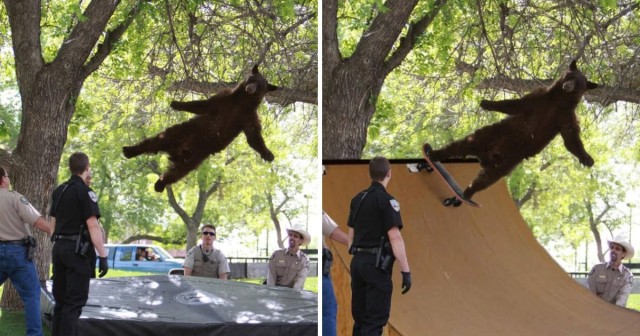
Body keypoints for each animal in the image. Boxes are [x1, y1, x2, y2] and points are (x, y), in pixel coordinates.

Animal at [122, 64, 278, 193]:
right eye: (252, 79)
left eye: (260, 86)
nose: (250, 88)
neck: (242, 102)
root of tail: (178, 151)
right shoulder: (225, 100)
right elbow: (203, 105)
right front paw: (176, 103)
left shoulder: (248, 116)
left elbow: (253, 135)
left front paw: (268, 154)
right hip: (182, 132)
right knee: (155, 141)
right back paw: (130, 150)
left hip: (194, 158)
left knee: (176, 173)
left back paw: (159, 184)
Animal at [424, 59, 600, 200]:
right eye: (570, 76)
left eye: (579, 84)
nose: (568, 85)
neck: (559, 101)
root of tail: (486, 157)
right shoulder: (539, 99)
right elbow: (516, 104)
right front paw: (487, 103)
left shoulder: (565, 116)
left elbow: (571, 137)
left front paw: (587, 159)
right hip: (492, 134)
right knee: (462, 144)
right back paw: (434, 153)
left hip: (507, 162)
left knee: (487, 179)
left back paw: (468, 192)